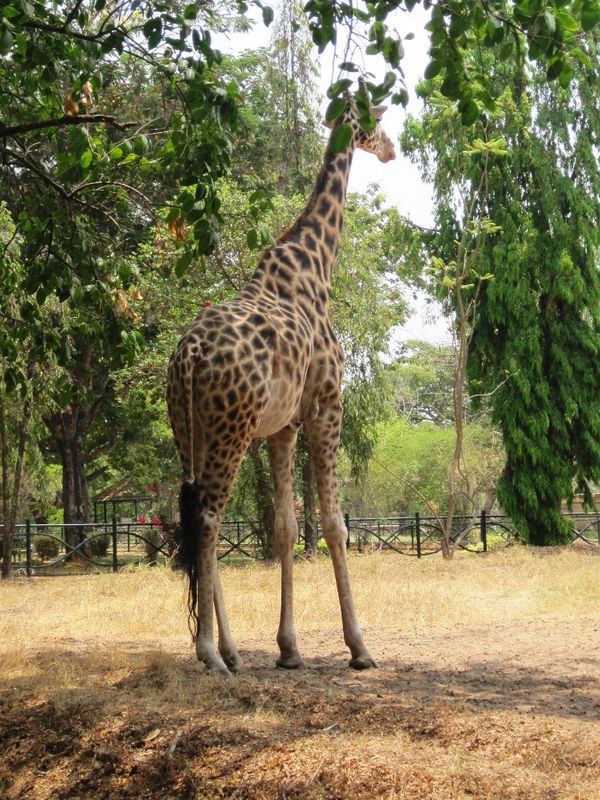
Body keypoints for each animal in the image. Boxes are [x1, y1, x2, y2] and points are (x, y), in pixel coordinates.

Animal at [167, 92, 396, 675]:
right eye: (379, 120)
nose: (391, 150)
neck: (317, 264)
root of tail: (189, 358)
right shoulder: (326, 405)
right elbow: (334, 524)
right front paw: (360, 647)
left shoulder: (282, 426)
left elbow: (286, 528)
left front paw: (289, 649)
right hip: (230, 430)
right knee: (208, 518)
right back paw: (210, 654)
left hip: (191, 432)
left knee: (201, 517)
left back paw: (229, 651)